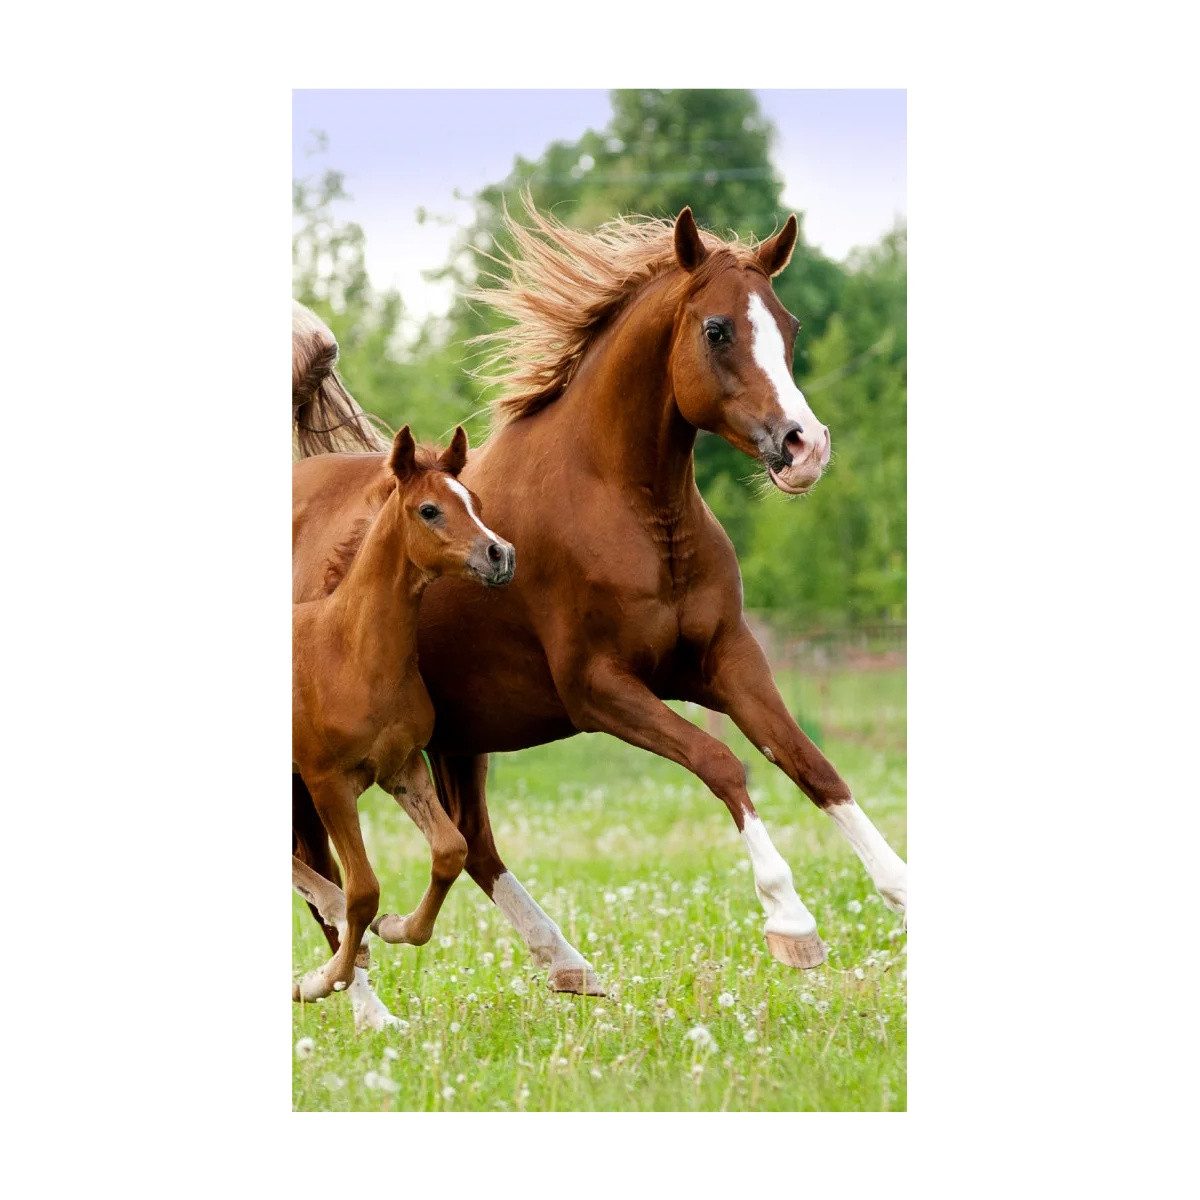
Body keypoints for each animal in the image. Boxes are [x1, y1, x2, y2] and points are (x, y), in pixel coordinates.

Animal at [292, 423, 515, 1029]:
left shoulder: (403, 768)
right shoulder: (326, 782)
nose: (501, 554)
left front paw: (397, 928)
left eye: (475, 501)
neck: (348, 651)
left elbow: (450, 850)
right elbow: (363, 890)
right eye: (430, 510)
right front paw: (325, 979)